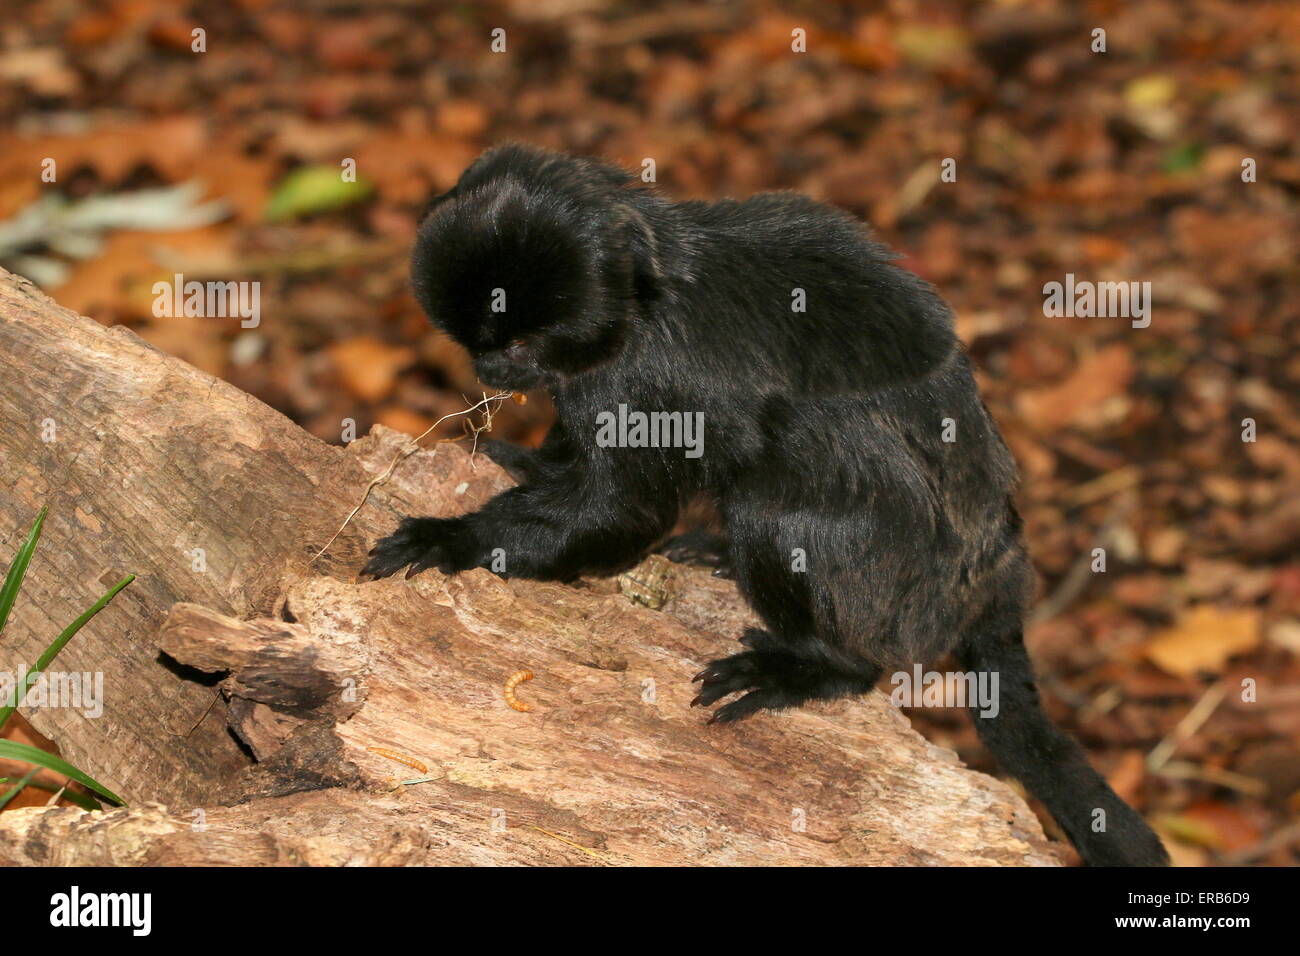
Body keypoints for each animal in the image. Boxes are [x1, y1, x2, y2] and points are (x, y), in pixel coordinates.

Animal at [364, 141, 1170, 868]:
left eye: (519, 342)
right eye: (480, 343)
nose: (491, 368)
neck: (649, 292)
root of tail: (995, 572)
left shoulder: (648, 380)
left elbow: (623, 514)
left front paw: (454, 539)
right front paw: (525, 462)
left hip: (902, 592)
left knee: (782, 502)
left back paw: (822, 664)